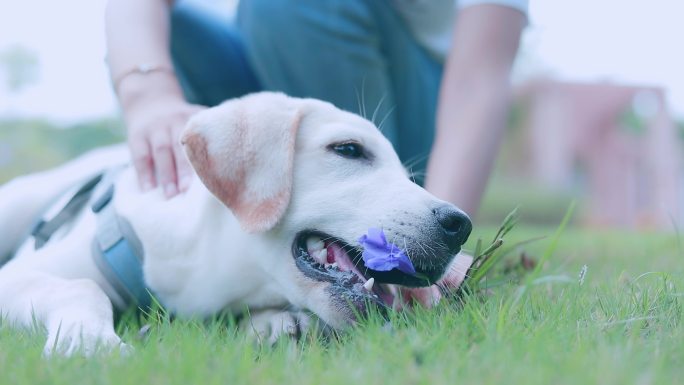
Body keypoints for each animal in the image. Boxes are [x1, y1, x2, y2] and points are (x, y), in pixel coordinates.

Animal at [0, 92, 470, 354]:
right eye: (349, 149)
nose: (460, 225)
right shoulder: (17, 275)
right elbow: (81, 286)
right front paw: (89, 342)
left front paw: (275, 323)